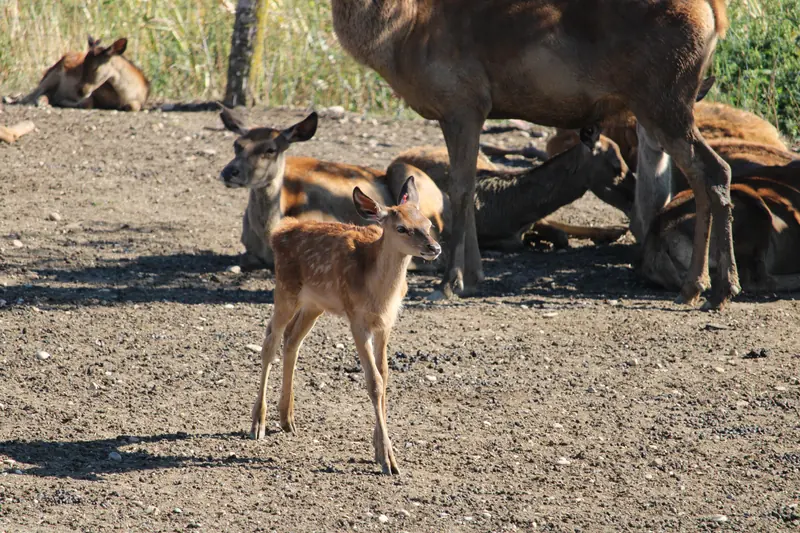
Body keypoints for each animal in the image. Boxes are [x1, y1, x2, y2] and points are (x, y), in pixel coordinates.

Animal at [19, 36, 149, 111]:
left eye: (96, 67)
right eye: (83, 65)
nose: (80, 91)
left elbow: (133, 107)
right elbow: (87, 103)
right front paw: (62, 101)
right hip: (51, 77)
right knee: (31, 95)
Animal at [251, 176, 440, 475]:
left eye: (428, 224)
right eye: (402, 228)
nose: (435, 248)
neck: (379, 294)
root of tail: (280, 231)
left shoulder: (386, 324)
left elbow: (385, 376)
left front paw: (378, 449)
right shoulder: (357, 320)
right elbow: (374, 382)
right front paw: (388, 460)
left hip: (314, 303)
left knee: (292, 339)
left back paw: (288, 419)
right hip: (285, 289)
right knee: (270, 340)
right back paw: (258, 423)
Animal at [330, 0, 739, 309]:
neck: (402, 30)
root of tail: (714, 14)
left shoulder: (463, 102)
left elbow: (459, 191)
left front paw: (450, 282)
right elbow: (467, 187)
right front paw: (475, 276)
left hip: (664, 100)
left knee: (715, 170)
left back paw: (722, 288)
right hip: (666, 105)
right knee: (702, 177)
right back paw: (694, 286)